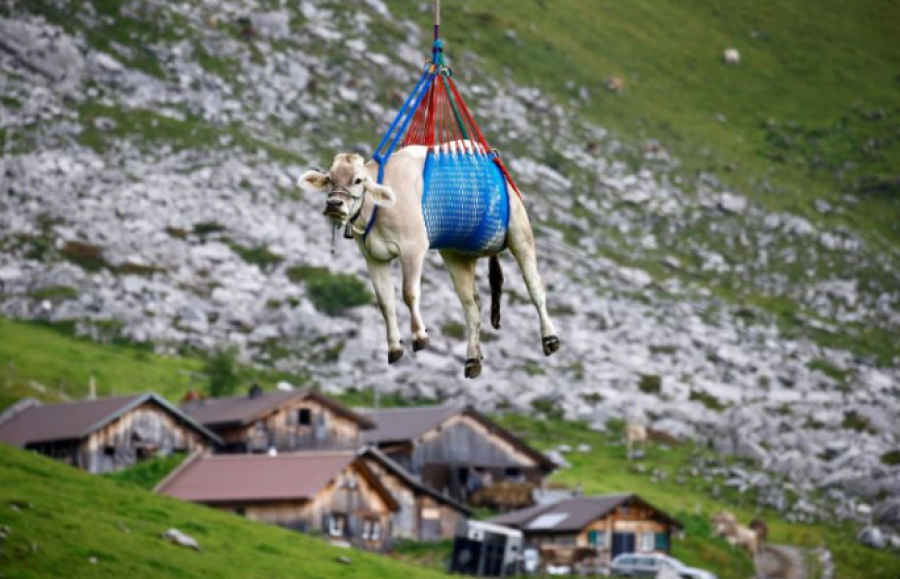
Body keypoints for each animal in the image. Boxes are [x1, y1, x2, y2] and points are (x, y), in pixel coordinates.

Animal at [298, 147, 560, 378]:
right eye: (329, 179)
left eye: (358, 180)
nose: (334, 204)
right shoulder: (373, 257)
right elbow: (385, 303)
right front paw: (394, 347)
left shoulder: (412, 248)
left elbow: (409, 293)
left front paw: (419, 336)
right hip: (455, 254)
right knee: (471, 305)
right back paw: (472, 359)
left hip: (519, 231)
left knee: (535, 287)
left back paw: (549, 337)